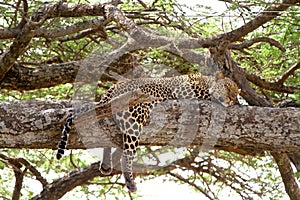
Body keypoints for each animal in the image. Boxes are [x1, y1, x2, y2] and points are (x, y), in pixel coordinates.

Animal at [55, 71, 239, 192]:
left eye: (236, 92)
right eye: (227, 87)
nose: (232, 99)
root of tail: (112, 90)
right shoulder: (188, 92)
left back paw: (106, 165)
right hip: (135, 118)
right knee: (127, 155)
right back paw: (130, 182)